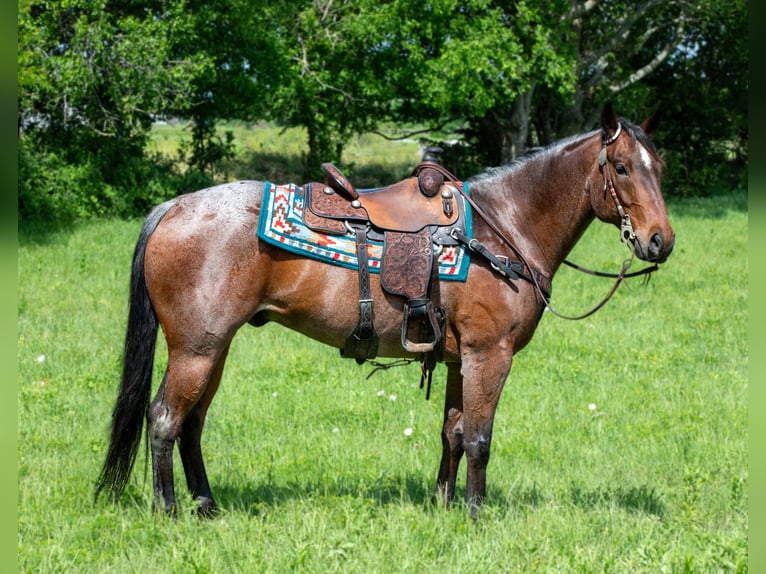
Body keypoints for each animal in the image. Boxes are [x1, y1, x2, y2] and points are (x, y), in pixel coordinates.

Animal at [96, 103, 680, 516]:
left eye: (660, 167)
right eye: (621, 167)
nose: (660, 241)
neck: (504, 229)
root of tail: (173, 206)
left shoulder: (459, 358)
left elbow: (453, 432)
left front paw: (443, 506)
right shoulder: (489, 354)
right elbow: (481, 438)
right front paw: (475, 515)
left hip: (213, 350)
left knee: (191, 424)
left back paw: (207, 506)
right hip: (196, 349)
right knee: (165, 419)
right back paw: (170, 511)